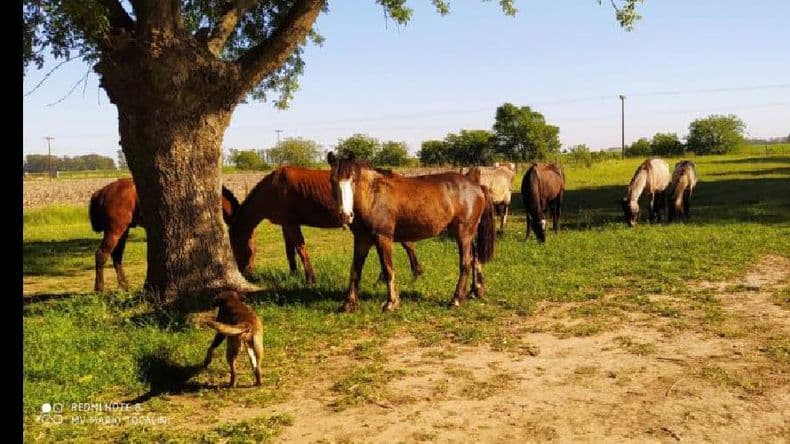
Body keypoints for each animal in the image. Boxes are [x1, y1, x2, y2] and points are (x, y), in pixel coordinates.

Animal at [89, 178, 239, 292]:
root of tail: (102, 192)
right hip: (114, 230)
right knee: (101, 255)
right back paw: (99, 288)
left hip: (123, 231)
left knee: (117, 256)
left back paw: (124, 286)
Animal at [228, 166, 423, 285]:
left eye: (233, 247)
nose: (245, 273)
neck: (272, 188)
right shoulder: (285, 224)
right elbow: (290, 251)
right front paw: (293, 275)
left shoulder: (291, 223)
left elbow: (300, 249)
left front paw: (310, 279)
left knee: (407, 245)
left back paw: (414, 273)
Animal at [327, 152, 496, 312]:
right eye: (333, 180)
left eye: (353, 179)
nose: (346, 215)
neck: (373, 196)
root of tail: (478, 186)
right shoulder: (362, 239)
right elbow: (355, 270)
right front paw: (348, 304)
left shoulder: (383, 237)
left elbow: (388, 269)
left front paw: (391, 303)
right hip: (470, 233)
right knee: (475, 258)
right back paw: (476, 291)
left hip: (463, 232)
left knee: (466, 262)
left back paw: (456, 299)